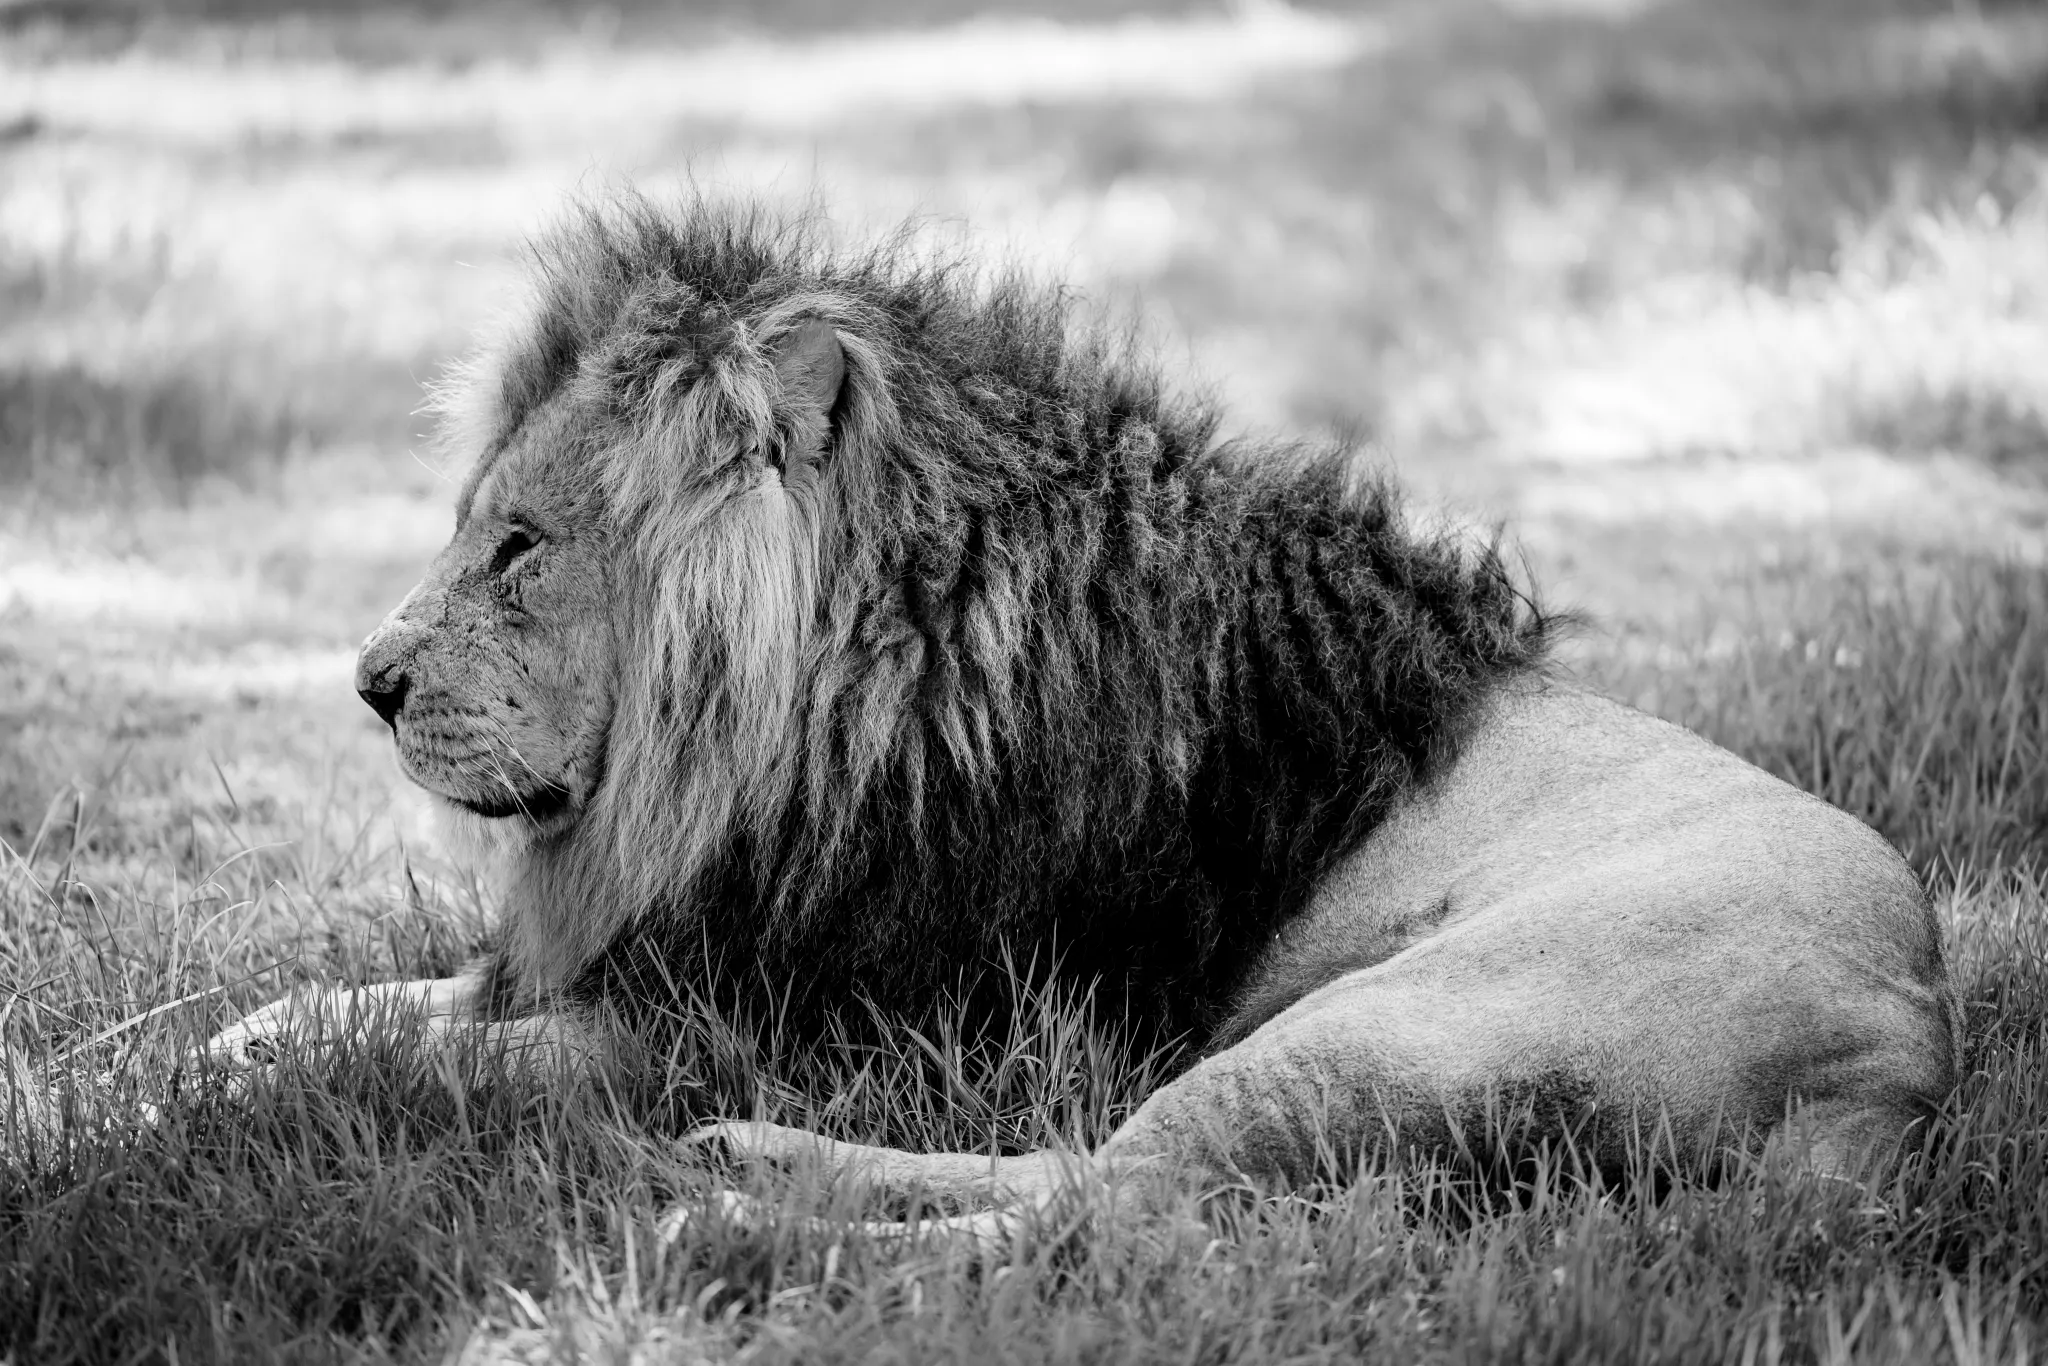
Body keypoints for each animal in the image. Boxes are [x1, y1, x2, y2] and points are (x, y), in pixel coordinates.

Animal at [205, 196, 1959, 1236]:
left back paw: (745, 1215)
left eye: (519, 548)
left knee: (1095, 1208)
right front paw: (181, 1057)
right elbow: (333, 1014)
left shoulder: (793, 1013)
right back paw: (751, 1176)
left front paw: (212, 1097)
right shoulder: (695, 939)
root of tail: (1907, 1057)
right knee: (1112, 1190)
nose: (367, 685)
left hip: (1391, 1030)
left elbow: (457, 1067)